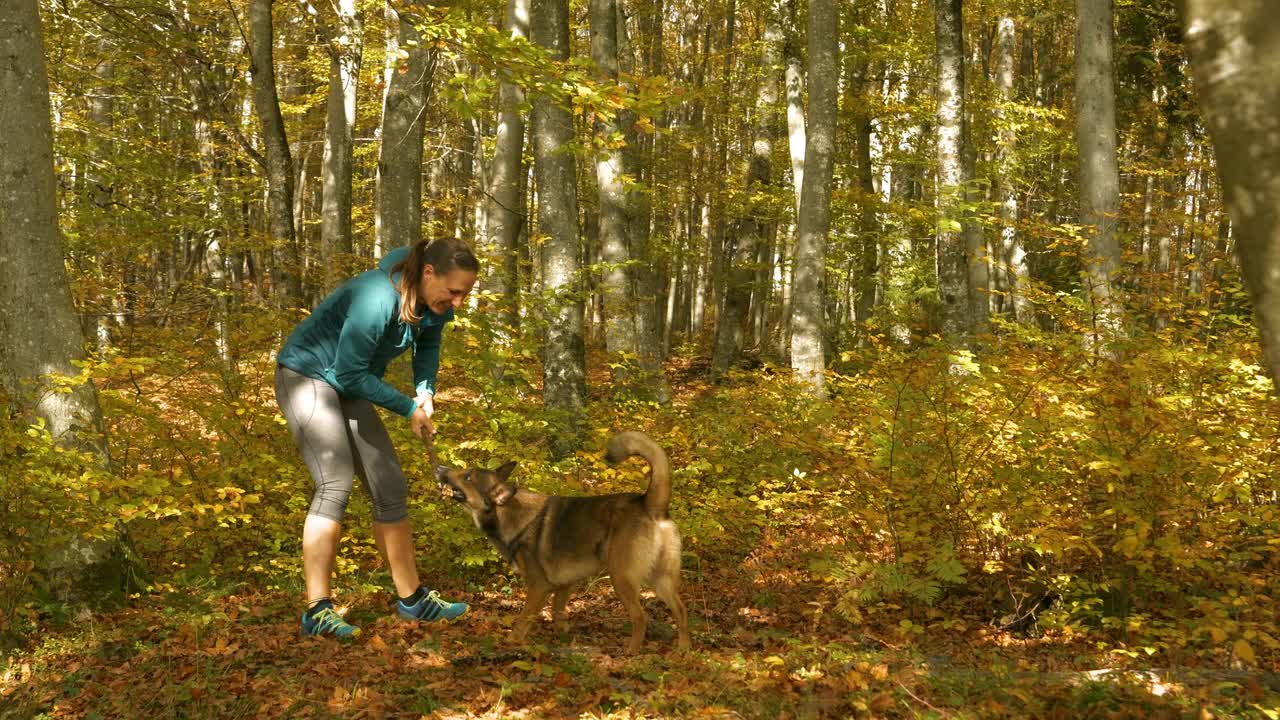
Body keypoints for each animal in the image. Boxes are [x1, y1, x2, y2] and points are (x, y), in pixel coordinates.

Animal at [437, 427, 691, 653]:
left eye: (467, 476)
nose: (439, 468)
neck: (508, 511)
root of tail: (651, 504)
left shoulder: (538, 587)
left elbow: (523, 620)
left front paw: (511, 643)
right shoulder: (566, 583)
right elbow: (557, 612)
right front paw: (564, 636)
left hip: (621, 578)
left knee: (641, 617)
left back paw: (632, 651)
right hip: (662, 579)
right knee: (681, 611)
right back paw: (682, 650)